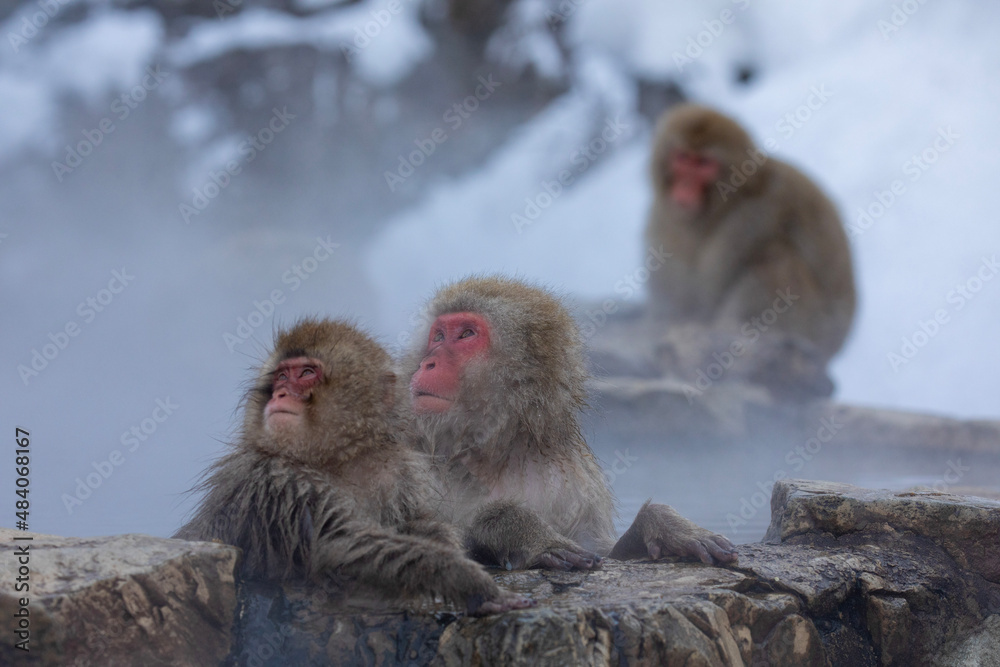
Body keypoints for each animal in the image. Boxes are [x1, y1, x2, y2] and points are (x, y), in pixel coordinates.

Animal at [174, 318, 532, 615]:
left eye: (306, 373)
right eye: (281, 375)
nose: (279, 393)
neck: (339, 460)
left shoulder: (398, 473)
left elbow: (416, 522)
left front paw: (445, 543)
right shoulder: (276, 480)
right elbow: (340, 545)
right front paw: (465, 579)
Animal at [400, 276, 737, 571]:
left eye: (466, 334)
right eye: (438, 336)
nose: (427, 363)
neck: (492, 449)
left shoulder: (576, 482)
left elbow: (602, 552)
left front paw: (667, 526)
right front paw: (520, 529)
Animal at [644, 103, 856, 369]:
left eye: (703, 163)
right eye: (682, 158)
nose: (684, 187)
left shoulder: (752, 214)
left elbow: (709, 291)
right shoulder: (661, 217)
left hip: (814, 327)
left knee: (774, 260)